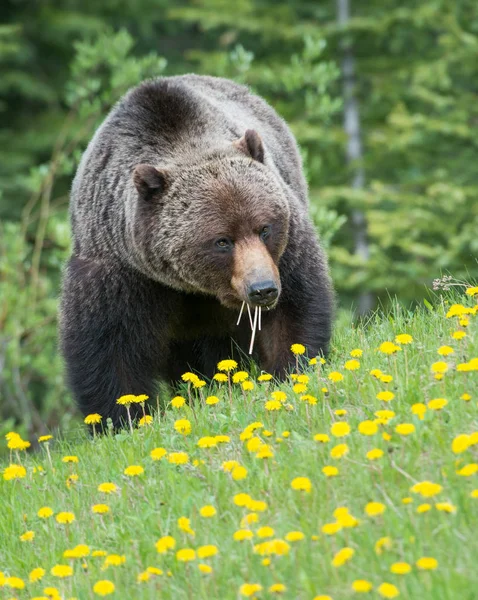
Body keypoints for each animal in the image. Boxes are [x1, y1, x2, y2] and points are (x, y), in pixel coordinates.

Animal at [59, 72, 332, 424]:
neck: (193, 287)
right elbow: (109, 347)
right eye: (222, 240)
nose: (263, 289)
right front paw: (123, 416)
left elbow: (293, 310)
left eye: (264, 228)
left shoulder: (285, 250)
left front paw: (291, 370)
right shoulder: (121, 271)